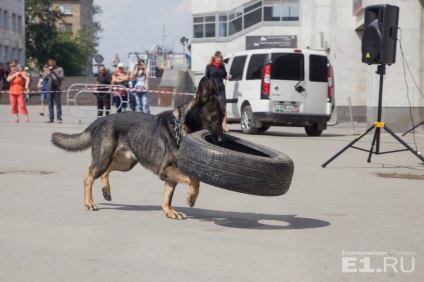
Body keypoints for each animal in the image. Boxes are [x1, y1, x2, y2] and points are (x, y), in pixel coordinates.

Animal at [51, 77, 225, 220]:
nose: (221, 141)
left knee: (105, 172)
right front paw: (191, 198)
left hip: (125, 163)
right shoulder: (166, 170)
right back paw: (89, 202)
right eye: (214, 117)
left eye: (223, 118)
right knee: (88, 178)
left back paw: (106, 191)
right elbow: (194, 180)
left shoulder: (168, 174)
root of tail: (101, 119)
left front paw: (169, 211)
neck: (181, 128)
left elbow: (168, 196)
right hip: (104, 159)